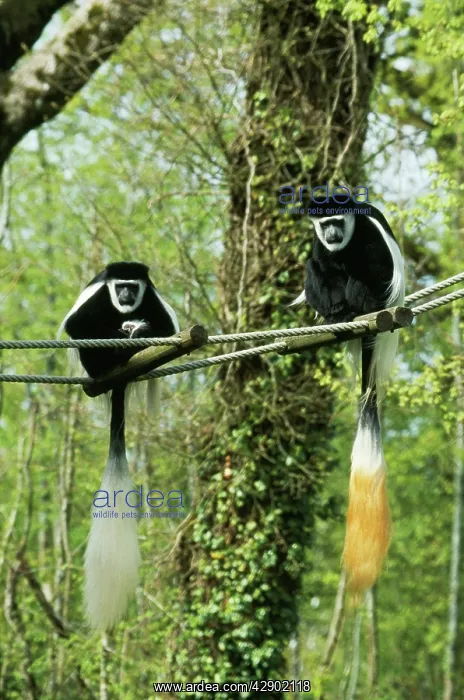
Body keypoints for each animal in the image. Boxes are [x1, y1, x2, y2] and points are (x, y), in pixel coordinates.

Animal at [60, 262, 179, 631]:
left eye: (133, 286)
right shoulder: (98, 297)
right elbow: (77, 324)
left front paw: (138, 328)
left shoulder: (151, 297)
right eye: (120, 286)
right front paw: (122, 331)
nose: (126, 296)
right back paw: (113, 355)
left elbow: (168, 328)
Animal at [291, 198, 405, 592]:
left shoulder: (367, 231)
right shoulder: (318, 242)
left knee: (362, 275)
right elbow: (318, 262)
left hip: (377, 296)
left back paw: (357, 309)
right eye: (324, 223)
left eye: (338, 221)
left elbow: (374, 264)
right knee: (318, 267)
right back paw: (335, 315)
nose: (332, 233)